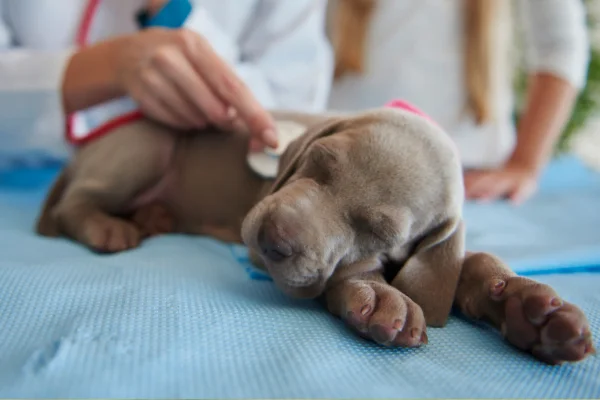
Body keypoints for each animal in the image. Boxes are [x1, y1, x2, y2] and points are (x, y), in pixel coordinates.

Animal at [37, 108, 596, 364]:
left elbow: (464, 263)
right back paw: (109, 226)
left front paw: (532, 310)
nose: (272, 239)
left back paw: (153, 217)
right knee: (73, 204)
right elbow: (351, 276)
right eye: (318, 163)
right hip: (145, 146)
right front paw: (377, 295)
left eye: (379, 231)